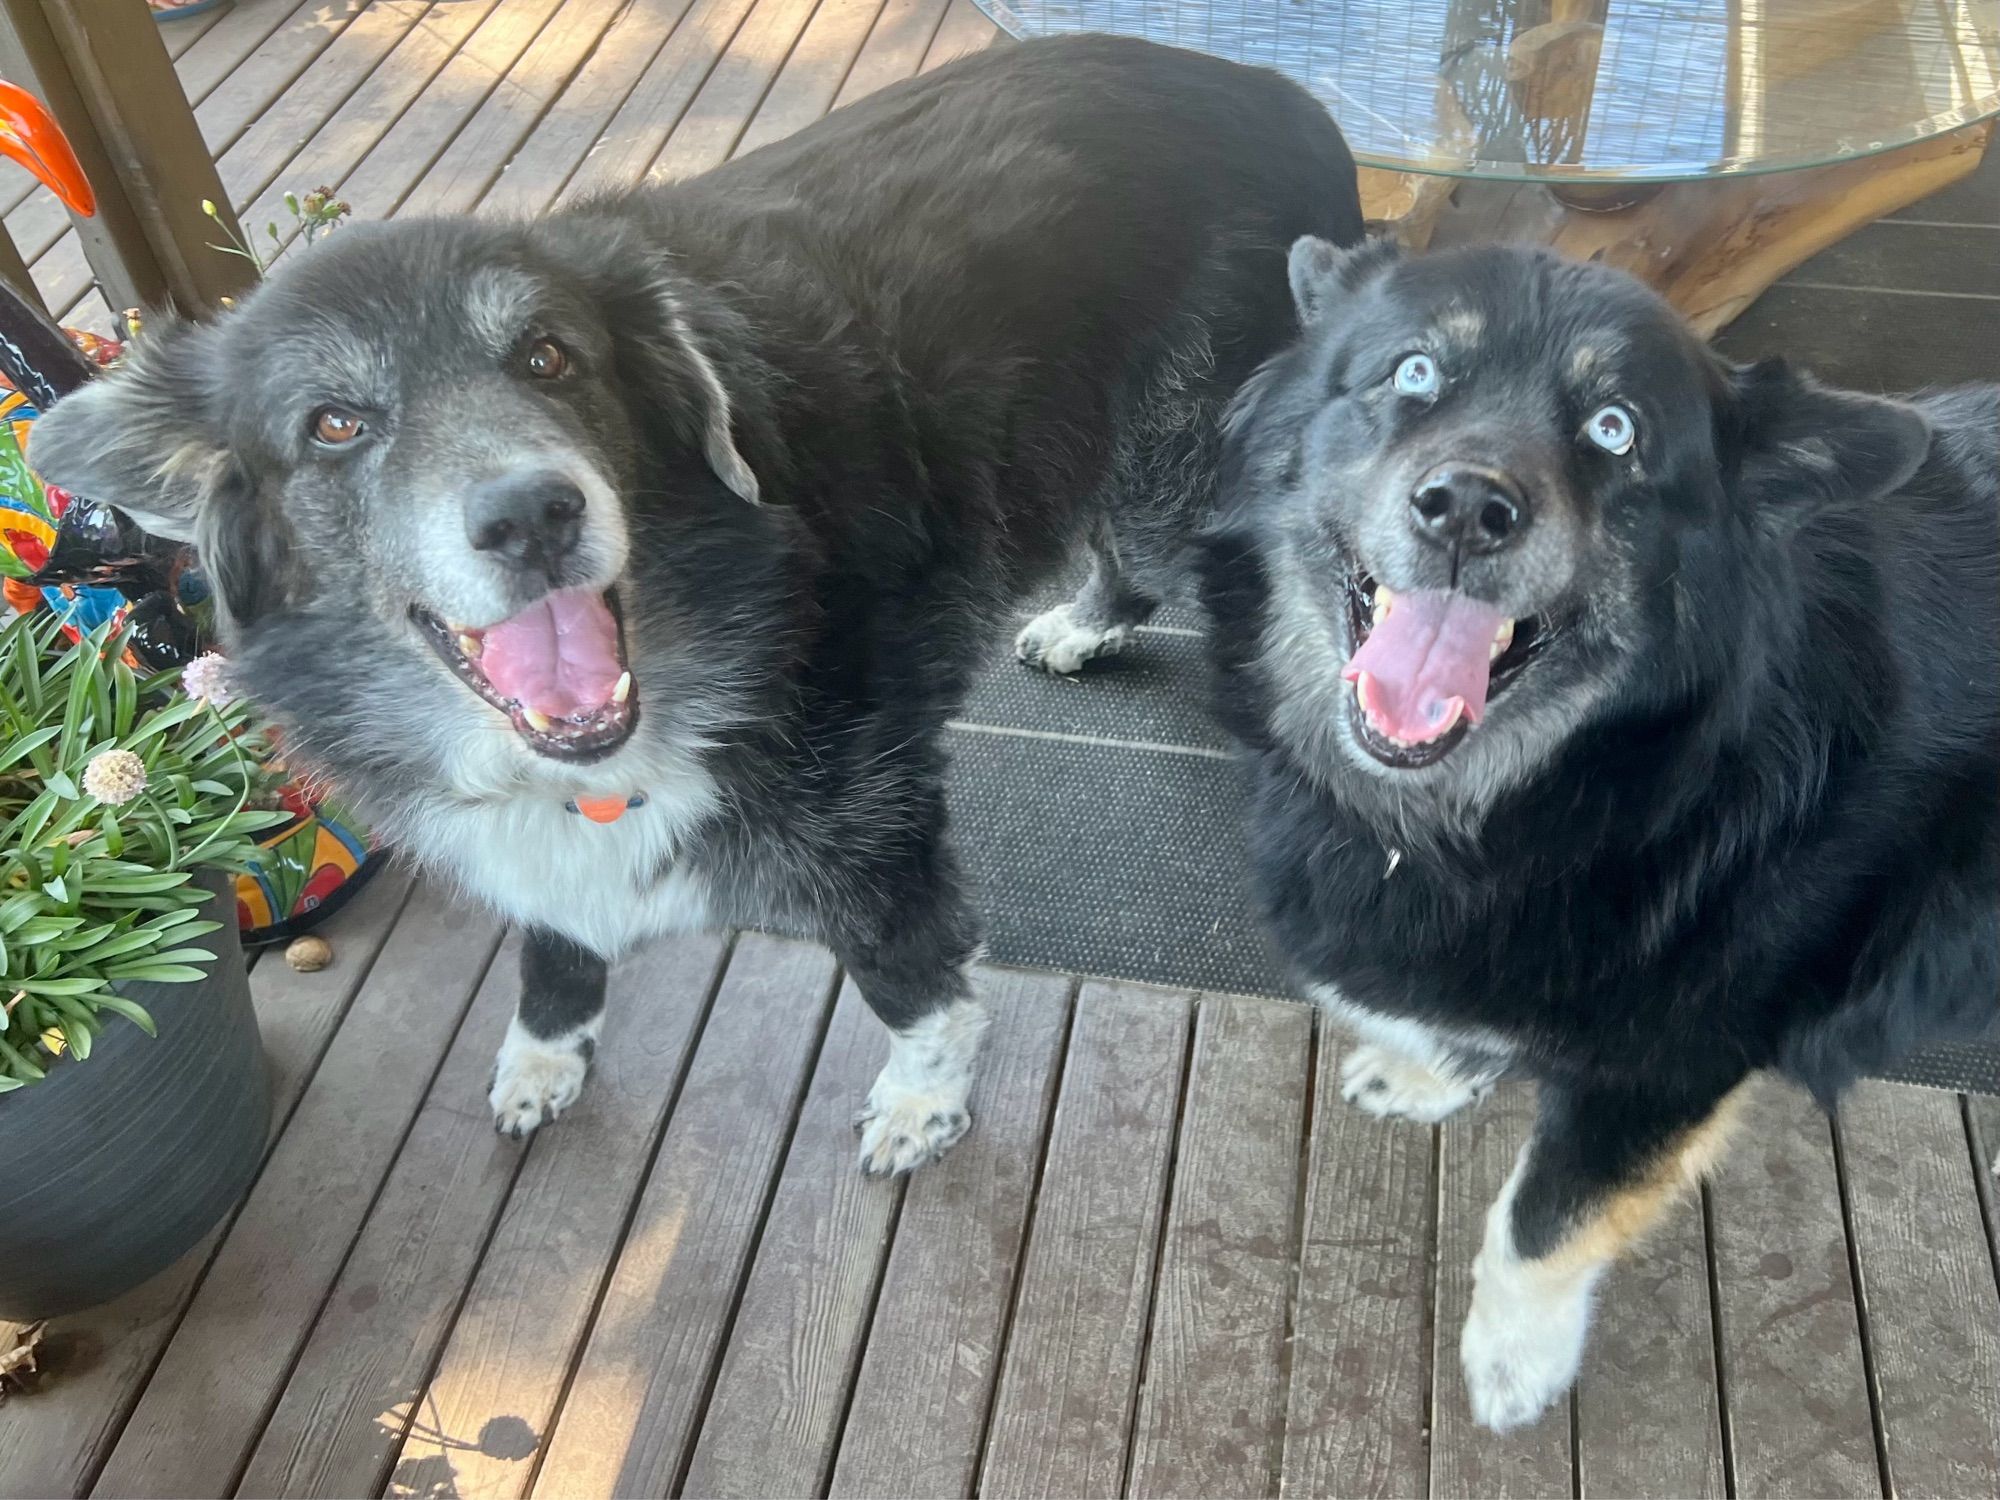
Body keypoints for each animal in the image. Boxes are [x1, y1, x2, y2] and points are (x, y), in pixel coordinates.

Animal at [35, 35, 1360, 1176]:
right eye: (333, 425)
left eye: (550, 357)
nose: (531, 516)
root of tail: (1273, 91)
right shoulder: (544, 845)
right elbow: (552, 949)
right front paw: (543, 1057)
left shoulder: (870, 831)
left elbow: (912, 984)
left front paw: (921, 1105)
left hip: (1179, 472)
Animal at [1200, 241, 2000, 1440]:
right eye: (1413, 372)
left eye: (1615, 430)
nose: (1465, 509)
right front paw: (1432, 1072)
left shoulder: (1668, 1069)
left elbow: (1540, 1226)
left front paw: (1512, 1360)